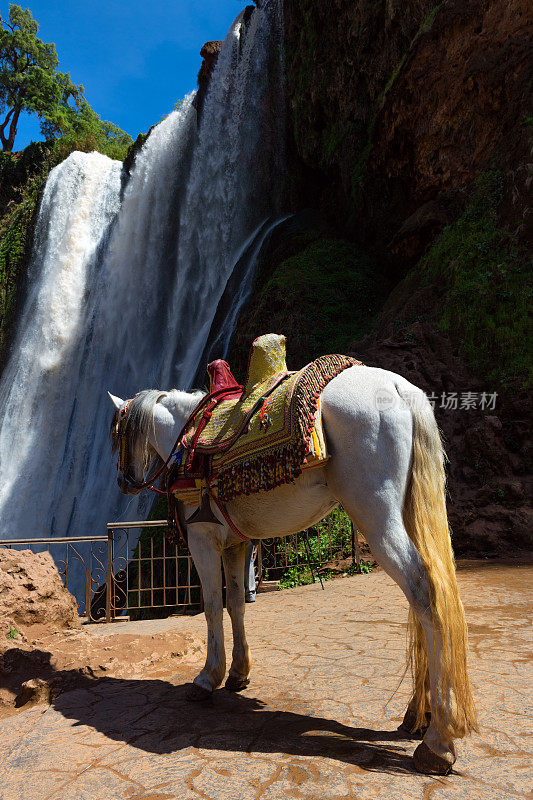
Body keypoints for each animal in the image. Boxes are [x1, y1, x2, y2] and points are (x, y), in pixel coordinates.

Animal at [107, 364, 474, 776]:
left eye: (116, 434)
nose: (123, 482)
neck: (186, 436)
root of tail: (399, 388)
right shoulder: (237, 543)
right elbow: (236, 604)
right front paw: (238, 673)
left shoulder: (203, 538)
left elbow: (212, 607)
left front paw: (206, 678)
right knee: (424, 597)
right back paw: (417, 717)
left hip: (377, 517)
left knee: (425, 593)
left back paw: (438, 741)